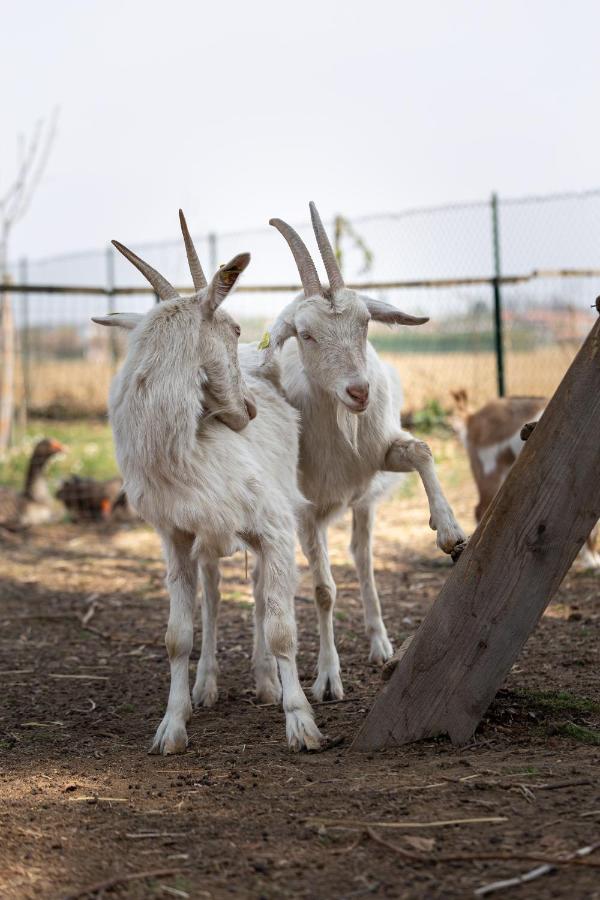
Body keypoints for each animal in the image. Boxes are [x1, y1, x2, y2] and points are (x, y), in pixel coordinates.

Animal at [91, 213, 322, 752]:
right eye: (234, 327)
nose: (249, 409)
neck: (188, 454)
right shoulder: (174, 535)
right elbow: (177, 635)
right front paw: (171, 726)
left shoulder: (274, 527)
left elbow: (280, 626)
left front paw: (301, 723)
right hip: (209, 540)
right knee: (215, 596)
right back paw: (206, 686)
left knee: (257, 593)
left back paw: (266, 683)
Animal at [264, 206, 466, 704]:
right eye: (305, 334)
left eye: (365, 323)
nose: (359, 391)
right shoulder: (306, 509)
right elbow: (323, 590)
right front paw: (327, 679)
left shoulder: (377, 455)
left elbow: (421, 450)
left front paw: (449, 530)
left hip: (364, 500)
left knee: (364, 558)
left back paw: (380, 643)